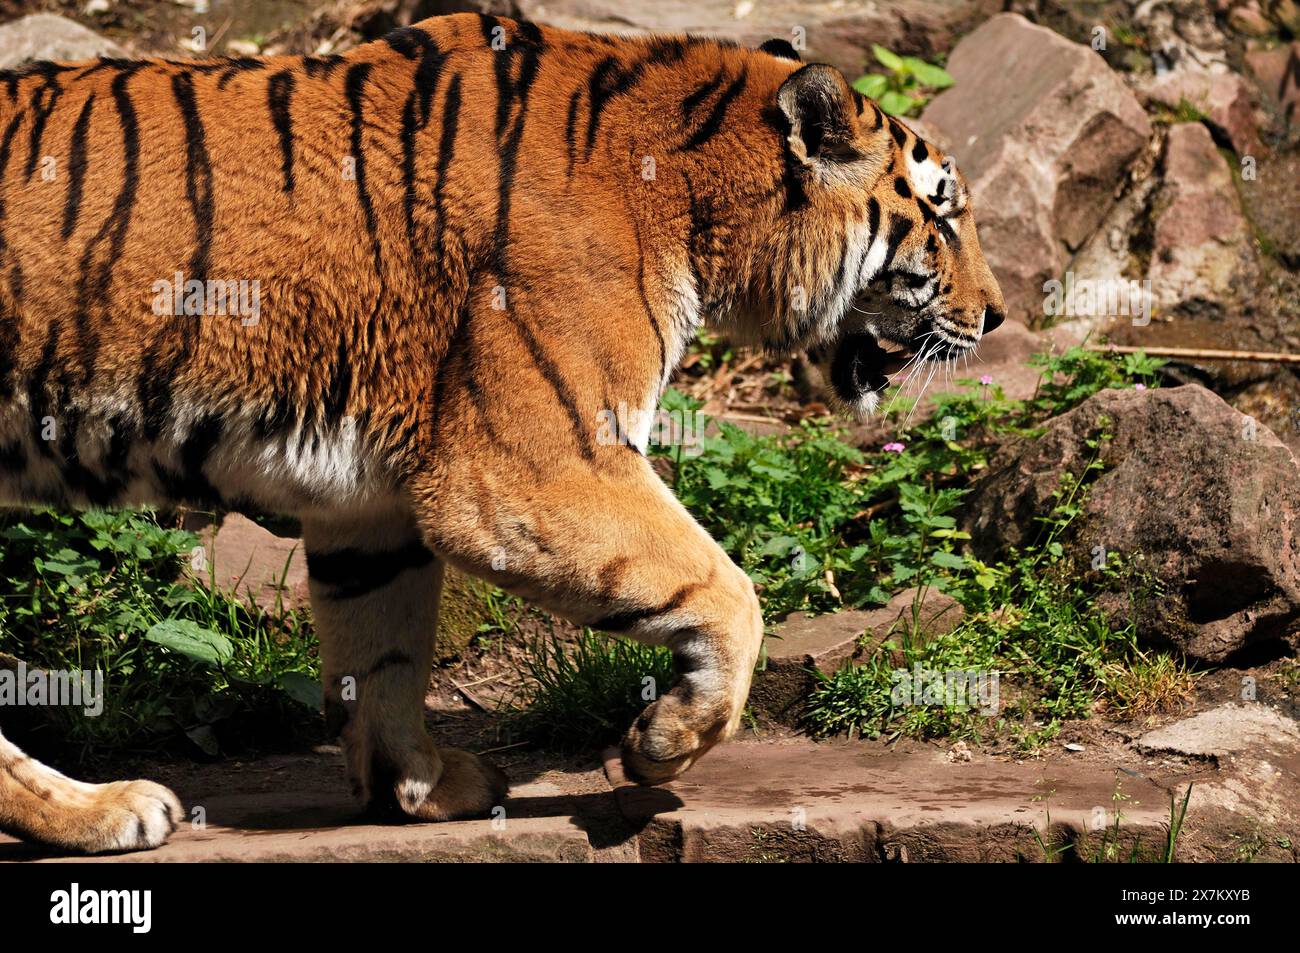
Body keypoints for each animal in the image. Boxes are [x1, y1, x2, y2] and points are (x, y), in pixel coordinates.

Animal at [0, 11, 1003, 852]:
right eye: (942, 213)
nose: (997, 316)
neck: (696, 196)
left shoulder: (370, 507)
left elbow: (383, 653)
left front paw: (418, 787)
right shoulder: (530, 468)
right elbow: (731, 592)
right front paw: (665, 741)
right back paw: (108, 809)